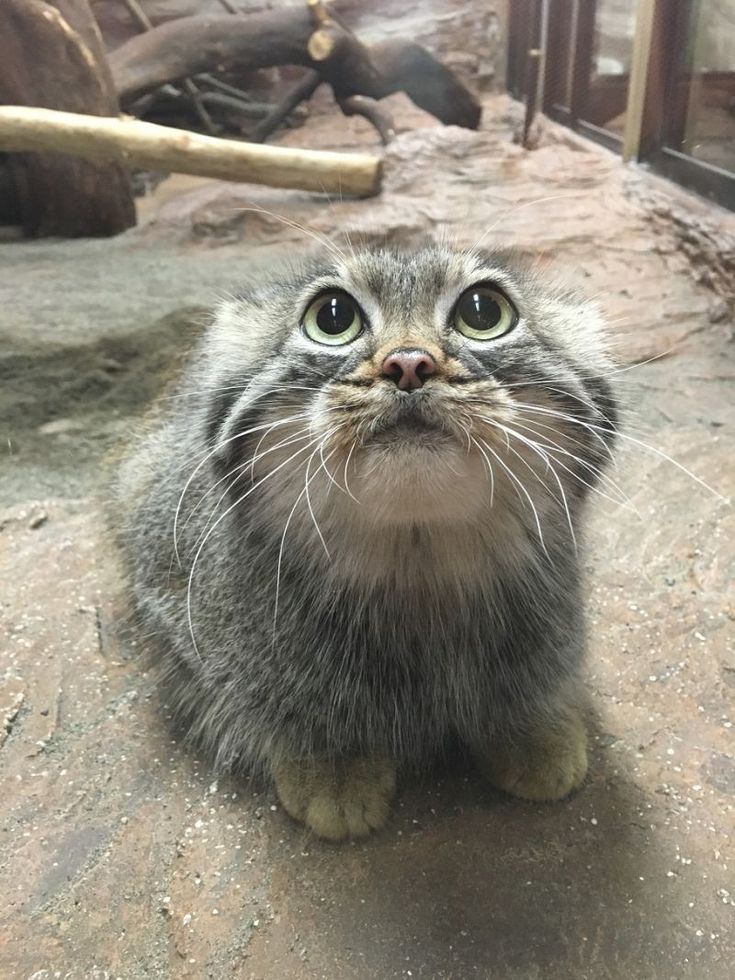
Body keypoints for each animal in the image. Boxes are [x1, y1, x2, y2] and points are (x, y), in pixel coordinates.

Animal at [112, 241, 620, 840]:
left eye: (482, 312)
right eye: (333, 318)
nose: (409, 364)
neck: (419, 564)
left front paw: (533, 725)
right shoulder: (167, 590)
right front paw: (332, 759)